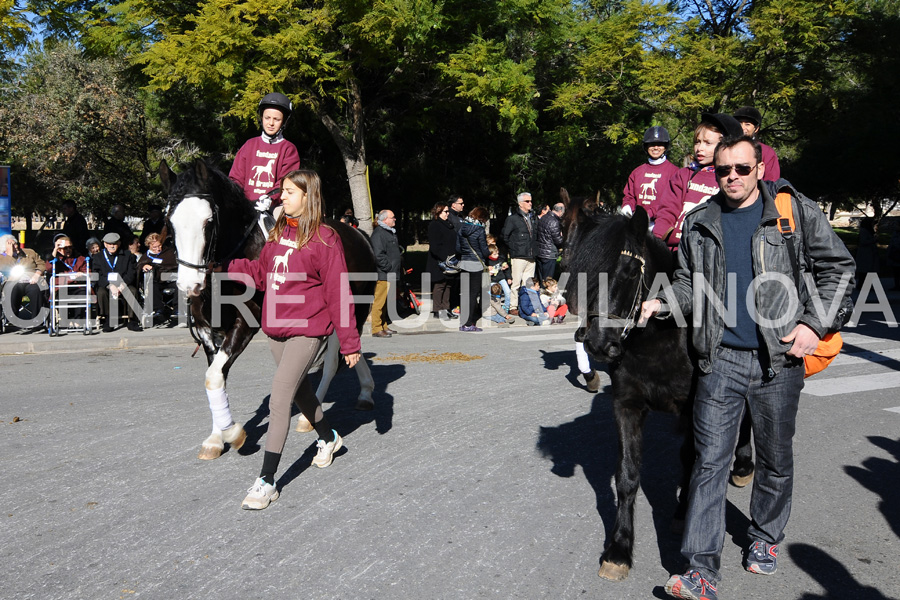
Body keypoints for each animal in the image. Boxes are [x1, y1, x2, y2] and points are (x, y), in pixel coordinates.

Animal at [160, 158, 374, 460]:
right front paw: (216, 437)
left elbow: (214, 376)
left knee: (333, 361)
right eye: (170, 222)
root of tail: (358, 233)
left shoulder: (246, 322)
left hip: (346, 310)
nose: (189, 283)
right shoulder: (206, 331)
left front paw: (233, 433)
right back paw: (365, 391)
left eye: (208, 221)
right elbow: (215, 376)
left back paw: (312, 415)